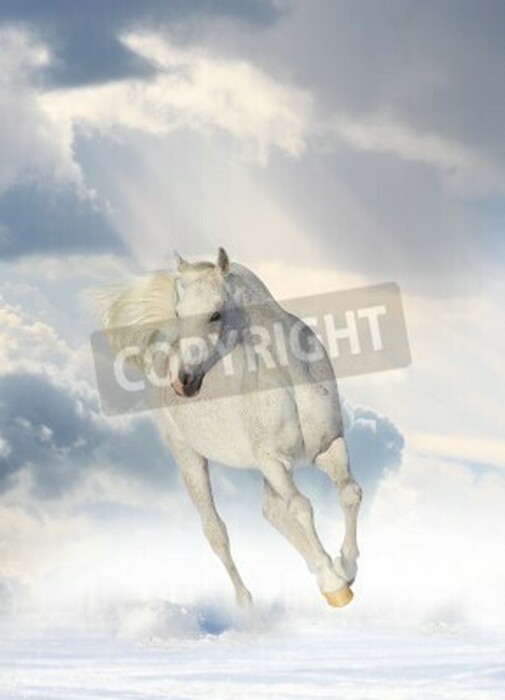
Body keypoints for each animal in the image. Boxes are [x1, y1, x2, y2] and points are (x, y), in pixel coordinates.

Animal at [97, 248, 362, 608]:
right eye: (180, 312)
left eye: (215, 314)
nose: (182, 381)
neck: (290, 378)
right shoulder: (273, 461)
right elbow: (300, 508)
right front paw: (336, 584)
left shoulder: (329, 446)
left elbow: (349, 493)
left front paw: (345, 567)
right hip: (189, 458)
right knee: (216, 530)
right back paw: (246, 602)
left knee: (271, 512)